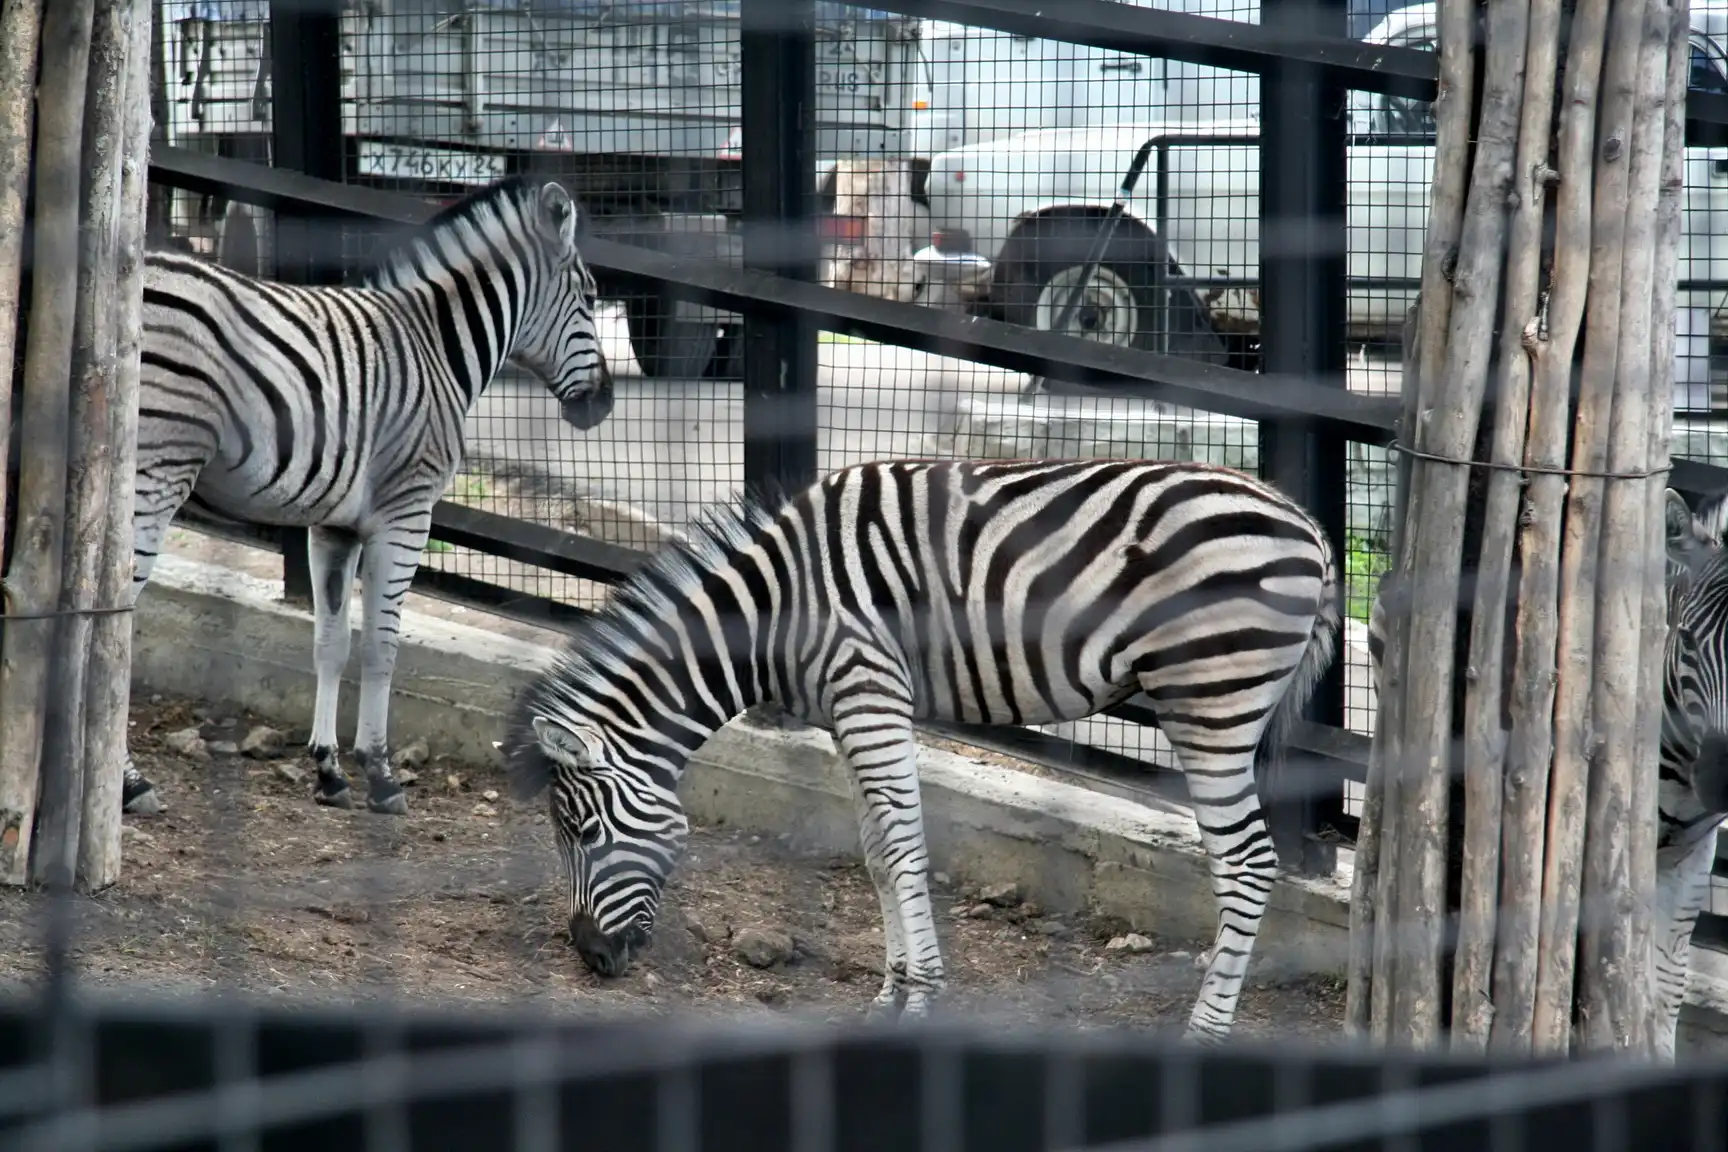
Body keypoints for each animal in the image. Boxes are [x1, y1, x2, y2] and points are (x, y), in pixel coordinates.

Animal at [124, 175, 614, 818]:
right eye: (589, 297)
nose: (605, 404)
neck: (438, 349)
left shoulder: (333, 526)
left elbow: (330, 643)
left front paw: (329, 769)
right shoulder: (406, 515)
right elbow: (383, 647)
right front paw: (380, 774)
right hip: (154, 475)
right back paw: (130, 784)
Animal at [503, 457, 1341, 1042]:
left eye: (581, 831)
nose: (589, 957)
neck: (772, 615)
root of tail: (1312, 529)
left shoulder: (870, 691)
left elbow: (906, 848)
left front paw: (923, 998)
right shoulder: (848, 712)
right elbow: (877, 853)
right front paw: (890, 993)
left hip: (1212, 701)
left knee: (1248, 863)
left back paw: (1205, 1032)